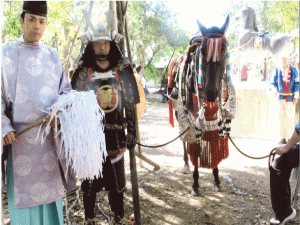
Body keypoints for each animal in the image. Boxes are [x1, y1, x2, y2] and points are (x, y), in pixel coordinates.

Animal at [168, 15, 236, 195]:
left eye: (224, 50)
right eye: (203, 51)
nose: (211, 93)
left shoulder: (214, 116)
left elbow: (214, 143)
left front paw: (216, 177)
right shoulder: (193, 117)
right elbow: (196, 145)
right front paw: (195, 183)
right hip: (179, 111)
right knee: (184, 139)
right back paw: (186, 163)